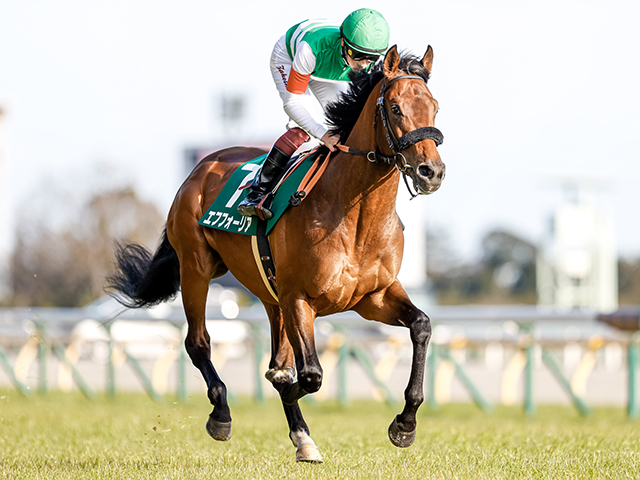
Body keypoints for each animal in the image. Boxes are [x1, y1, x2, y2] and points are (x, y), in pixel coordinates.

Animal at [106, 47, 444, 464]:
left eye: (434, 107)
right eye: (395, 108)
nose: (431, 171)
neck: (355, 213)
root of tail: (202, 166)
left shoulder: (373, 297)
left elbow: (421, 326)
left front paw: (405, 424)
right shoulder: (299, 297)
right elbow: (309, 374)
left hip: (269, 294)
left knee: (274, 357)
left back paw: (303, 438)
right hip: (196, 268)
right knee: (198, 342)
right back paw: (221, 414)